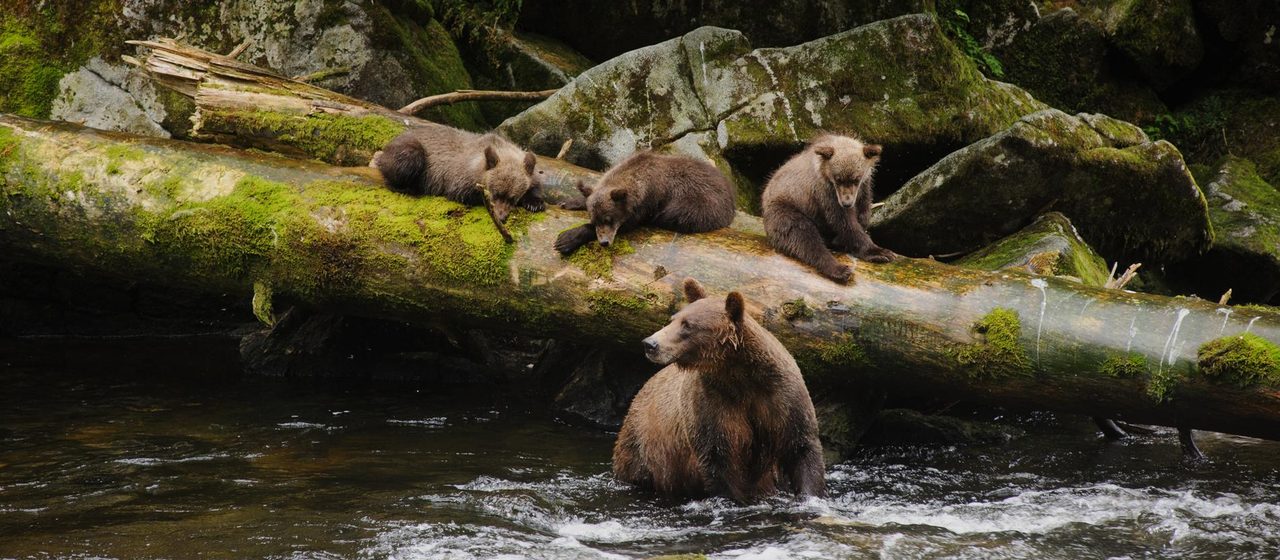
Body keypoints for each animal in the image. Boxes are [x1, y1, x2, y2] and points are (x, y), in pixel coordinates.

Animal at [375, 124, 543, 223]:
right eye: (495, 193)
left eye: (513, 197)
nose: (501, 217)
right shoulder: (459, 177)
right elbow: (462, 193)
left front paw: (535, 203)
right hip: (410, 150)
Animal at [554, 152, 736, 255]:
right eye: (595, 219)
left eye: (608, 219)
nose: (604, 242)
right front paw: (569, 201)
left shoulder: (648, 203)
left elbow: (631, 223)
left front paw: (567, 239)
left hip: (702, 204)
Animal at [612, 277, 826, 503]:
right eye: (673, 319)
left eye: (687, 325)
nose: (650, 344)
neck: (739, 375)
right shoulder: (713, 403)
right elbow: (719, 459)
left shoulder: (782, 399)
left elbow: (802, 448)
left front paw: (809, 494)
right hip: (644, 448)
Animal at [762, 134, 894, 283]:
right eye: (838, 179)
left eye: (855, 179)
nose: (847, 203)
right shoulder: (826, 193)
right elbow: (844, 222)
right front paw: (880, 252)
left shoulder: (864, 187)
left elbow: (863, 212)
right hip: (785, 209)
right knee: (803, 237)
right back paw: (840, 270)